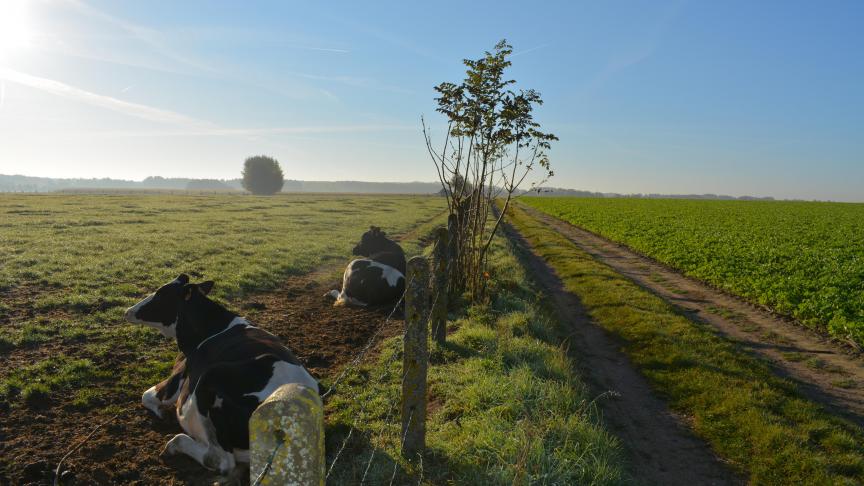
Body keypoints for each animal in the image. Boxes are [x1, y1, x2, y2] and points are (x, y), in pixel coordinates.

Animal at [125, 276, 318, 472]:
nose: (127, 311)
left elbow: (146, 395)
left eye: (160, 295)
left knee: (219, 459)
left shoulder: (178, 378)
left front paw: (163, 413)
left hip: (209, 377)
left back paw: (175, 445)